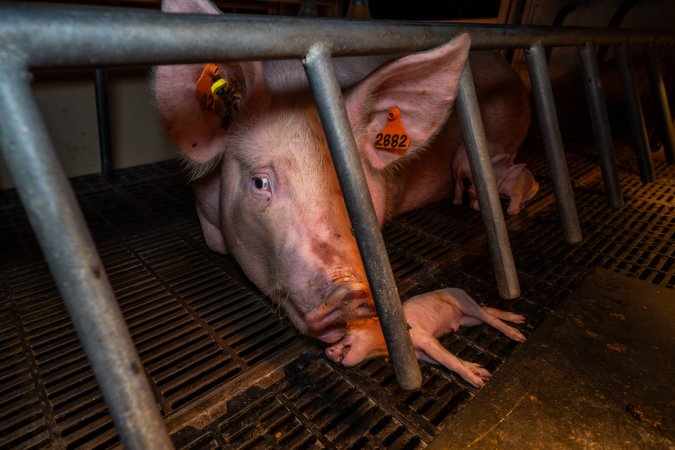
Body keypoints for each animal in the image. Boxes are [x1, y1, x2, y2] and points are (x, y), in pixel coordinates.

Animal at [324, 288, 524, 386]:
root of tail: (456, 288)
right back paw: (520, 319)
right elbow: (446, 360)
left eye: (348, 328)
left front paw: (479, 383)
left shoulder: (424, 338)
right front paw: (481, 371)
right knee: (488, 311)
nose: (326, 350)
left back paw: (519, 336)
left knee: (488, 317)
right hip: (467, 320)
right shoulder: (420, 354)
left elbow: (449, 361)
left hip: (464, 302)